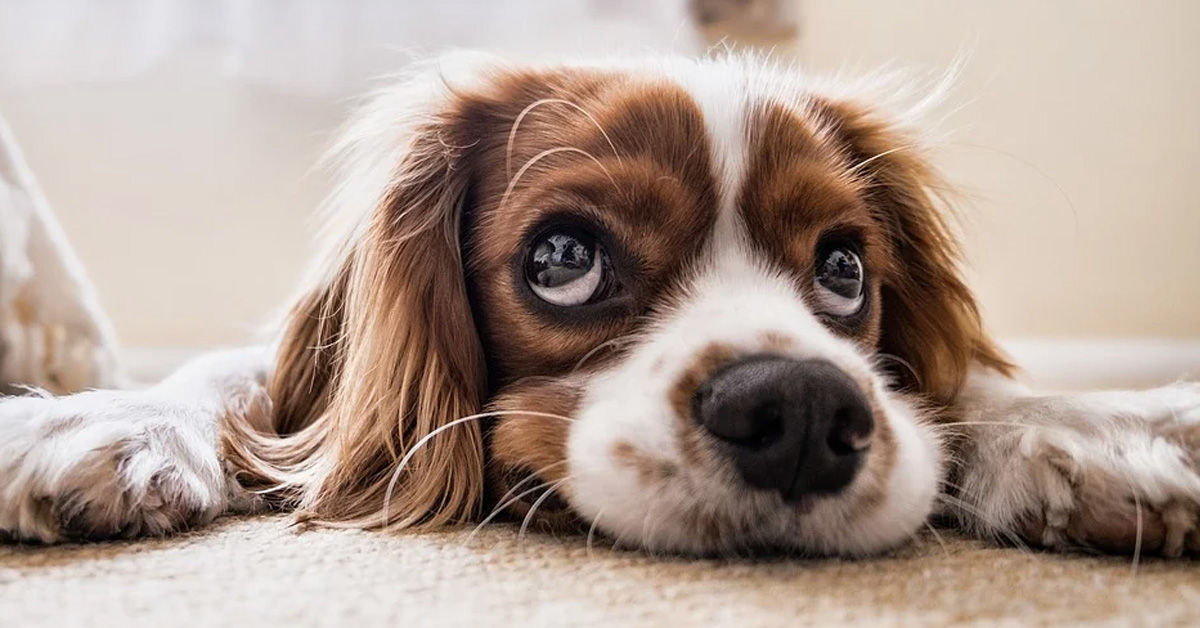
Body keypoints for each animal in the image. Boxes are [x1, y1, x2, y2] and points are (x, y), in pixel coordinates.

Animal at [2, 52, 1200, 554]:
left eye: (845, 270)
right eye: (564, 257)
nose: (803, 411)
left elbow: (965, 391)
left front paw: (1098, 431)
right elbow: (237, 378)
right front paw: (103, 420)